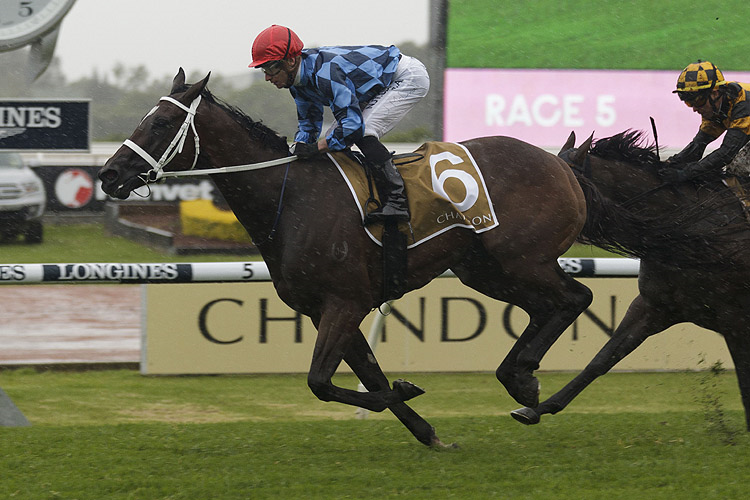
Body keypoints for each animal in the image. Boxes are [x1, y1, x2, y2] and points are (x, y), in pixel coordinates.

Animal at [100, 69, 596, 446]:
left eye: (162, 122)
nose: (109, 174)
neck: (292, 199)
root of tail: (561, 164)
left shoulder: (345, 302)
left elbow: (321, 382)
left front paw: (408, 388)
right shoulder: (326, 310)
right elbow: (369, 378)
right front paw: (426, 429)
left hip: (521, 260)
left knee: (575, 298)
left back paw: (527, 385)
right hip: (484, 269)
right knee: (547, 307)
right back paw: (523, 379)